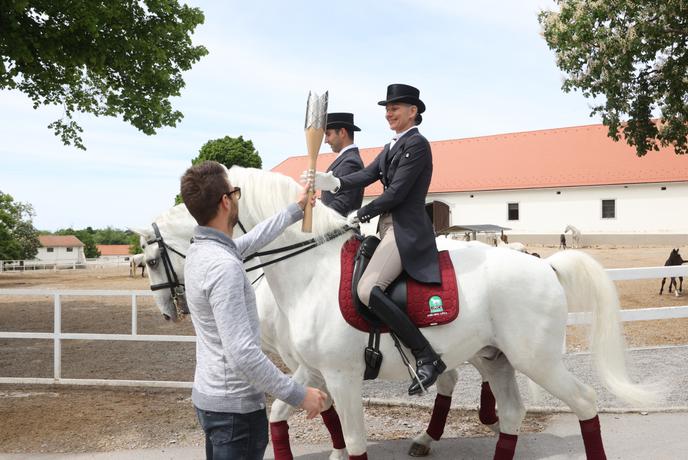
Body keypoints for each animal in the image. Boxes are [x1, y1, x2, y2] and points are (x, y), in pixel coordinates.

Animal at [218, 167, 660, 458]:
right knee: (512, 412)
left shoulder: (342, 376)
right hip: (495, 358)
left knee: (585, 402)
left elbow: (355, 440)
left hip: (538, 361)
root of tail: (545, 266)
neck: (313, 271)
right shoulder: (311, 370)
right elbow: (280, 414)